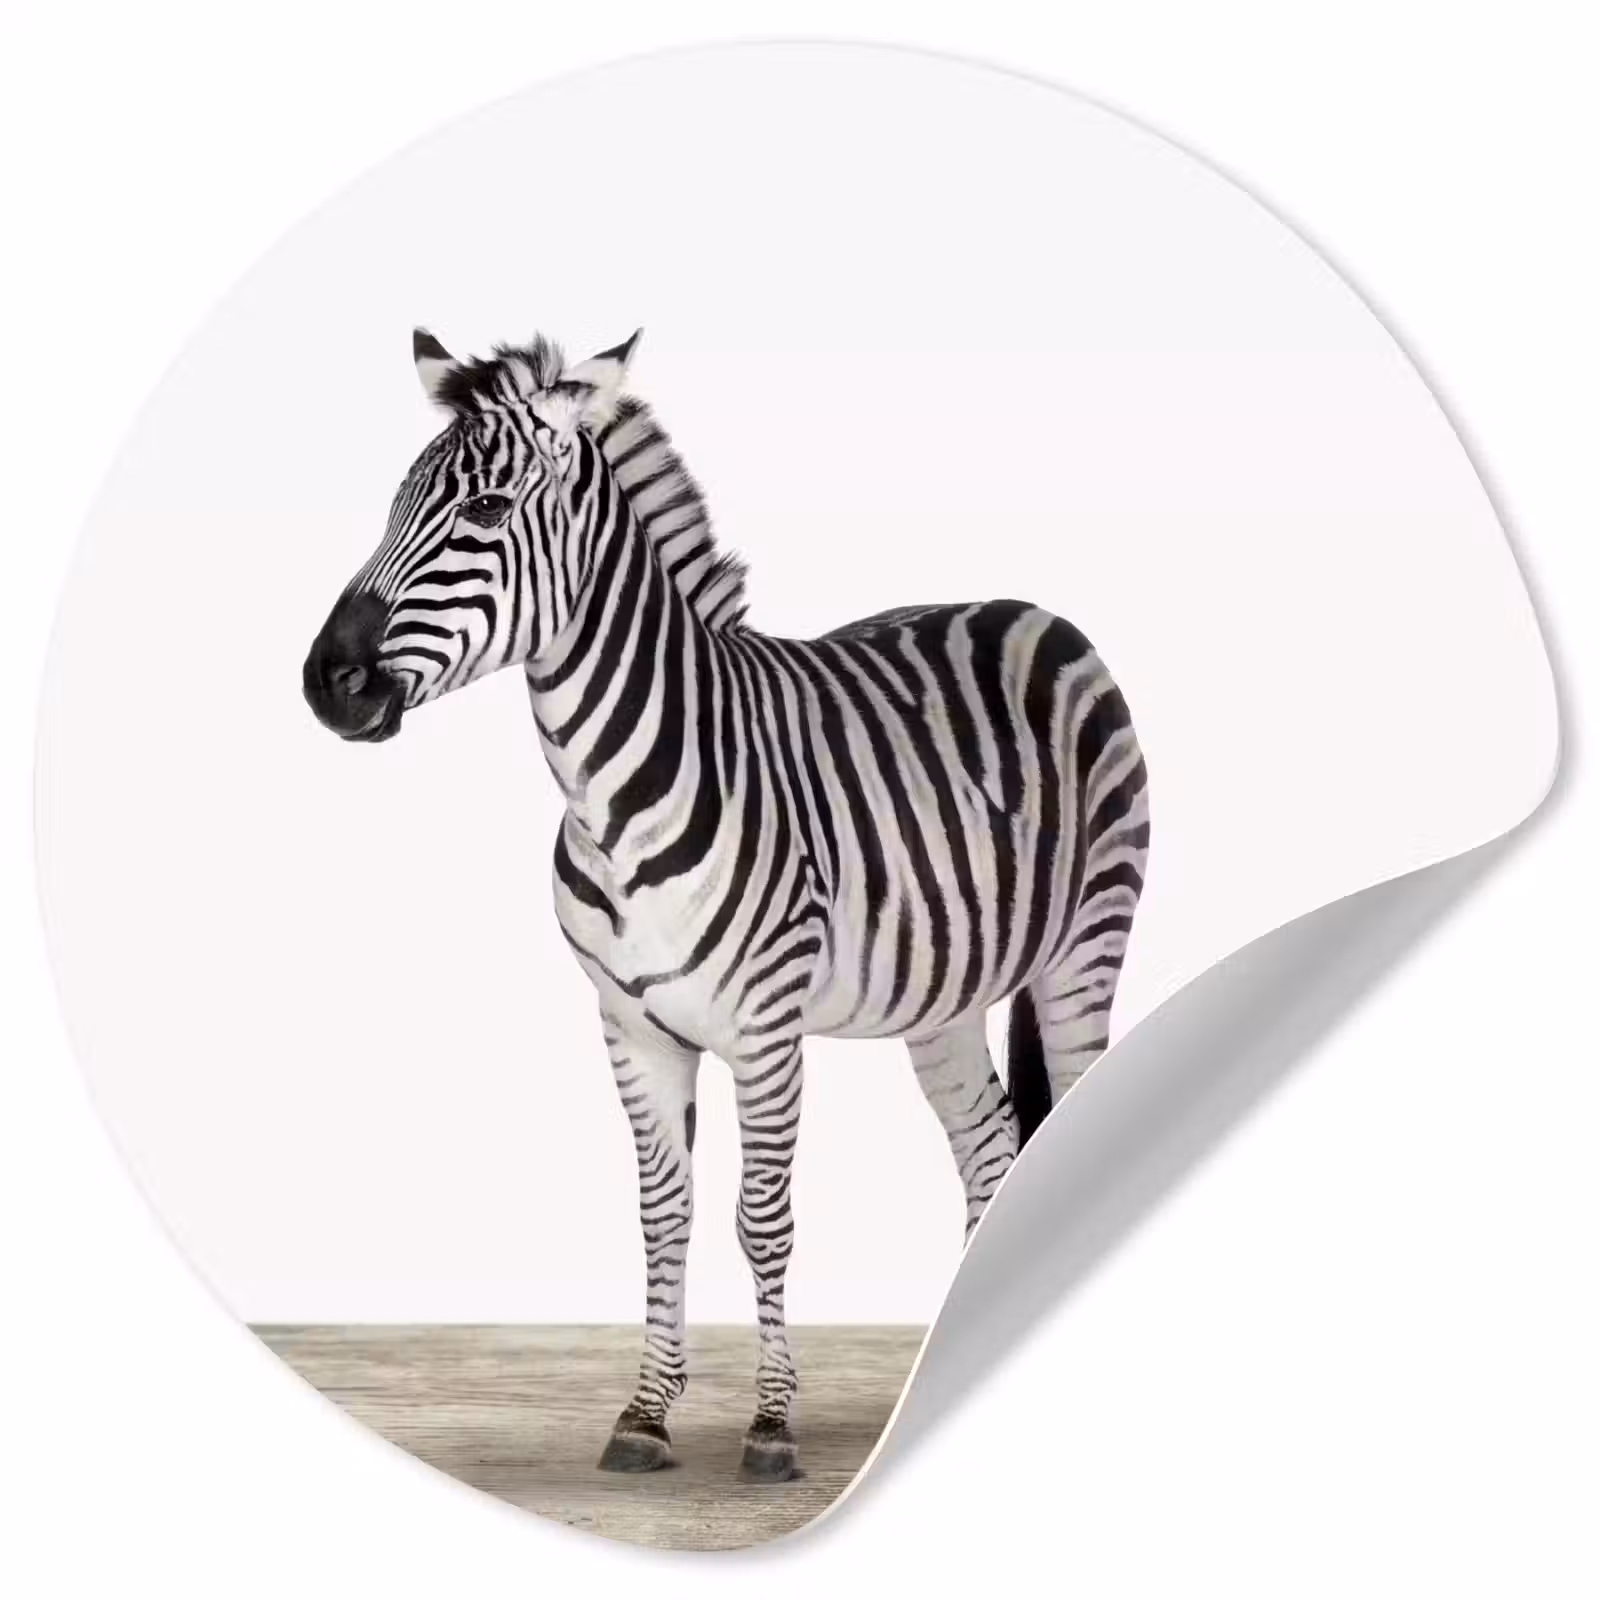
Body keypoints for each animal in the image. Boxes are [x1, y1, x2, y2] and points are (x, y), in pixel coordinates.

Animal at [303, 327, 1150, 1483]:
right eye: (393, 505)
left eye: (483, 510)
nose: (325, 682)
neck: (611, 794)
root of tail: (1035, 608)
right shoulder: (631, 1025)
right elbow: (665, 1214)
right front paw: (645, 1413)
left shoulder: (766, 1025)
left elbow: (762, 1216)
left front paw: (771, 1426)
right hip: (941, 995)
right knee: (989, 1144)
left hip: (1084, 950)